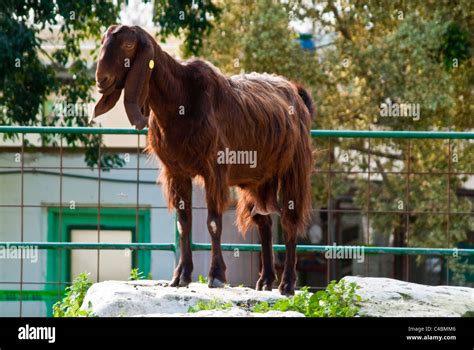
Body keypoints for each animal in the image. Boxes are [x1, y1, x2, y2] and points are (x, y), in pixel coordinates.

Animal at [92, 23, 314, 296]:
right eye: (103, 40)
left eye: (128, 44)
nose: (101, 79)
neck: (180, 99)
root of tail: (296, 93)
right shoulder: (176, 171)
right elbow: (184, 223)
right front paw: (181, 276)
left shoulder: (214, 169)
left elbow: (213, 223)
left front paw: (216, 276)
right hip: (257, 178)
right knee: (264, 222)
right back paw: (265, 282)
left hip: (294, 167)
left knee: (289, 219)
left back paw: (287, 284)